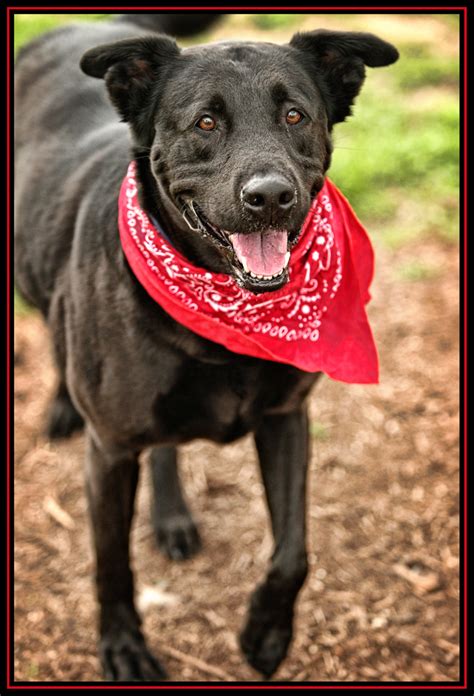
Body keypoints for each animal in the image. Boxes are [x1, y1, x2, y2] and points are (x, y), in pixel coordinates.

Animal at [14, 13, 398, 684]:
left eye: (295, 115)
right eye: (206, 123)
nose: (271, 196)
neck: (223, 315)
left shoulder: (285, 418)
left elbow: (293, 550)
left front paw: (266, 634)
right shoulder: (109, 451)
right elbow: (111, 565)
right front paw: (122, 646)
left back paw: (171, 515)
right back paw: (63, 406)